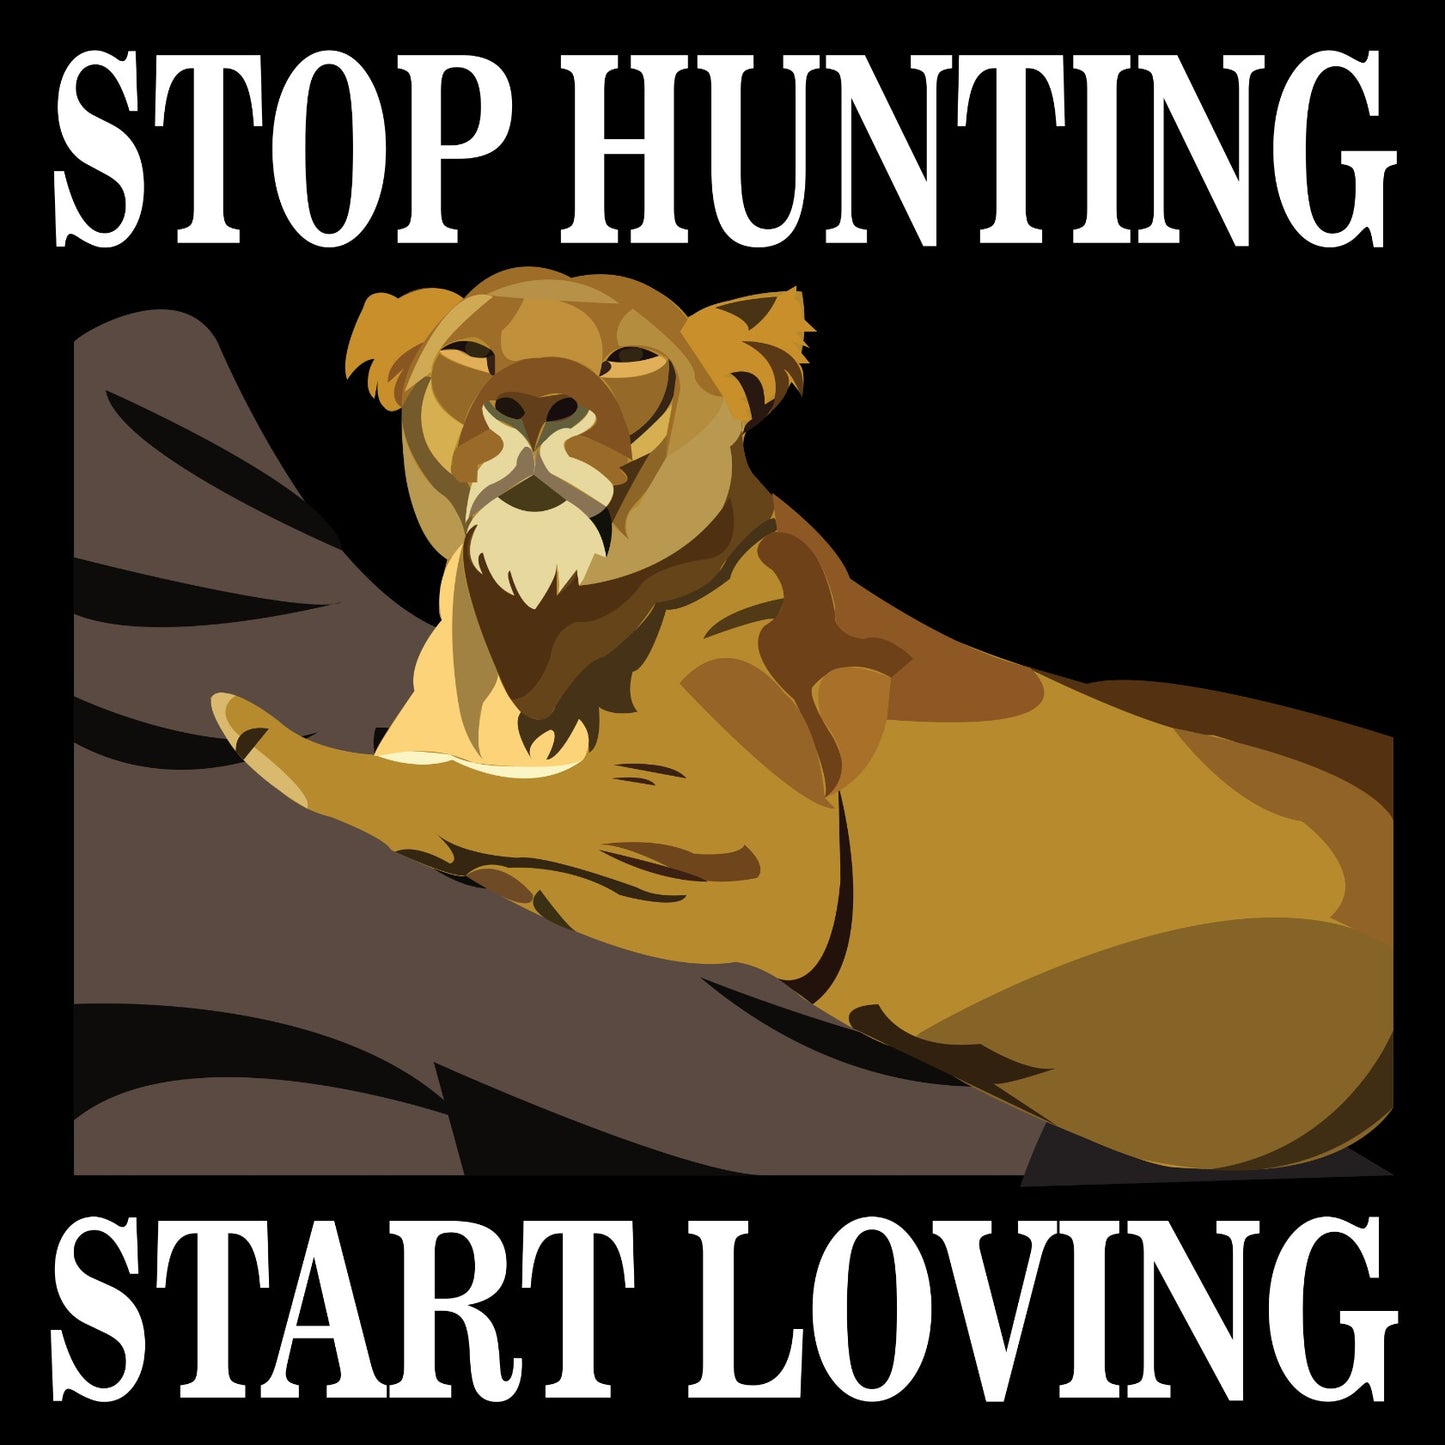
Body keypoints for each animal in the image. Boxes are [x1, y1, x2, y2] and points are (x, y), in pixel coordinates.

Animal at [210, 267, 1392, 1171]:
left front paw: (279, 744)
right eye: (472, 353)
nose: (535, 406)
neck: (523, 637)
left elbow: (510, 803)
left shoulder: (771, 861)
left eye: (626, 360)